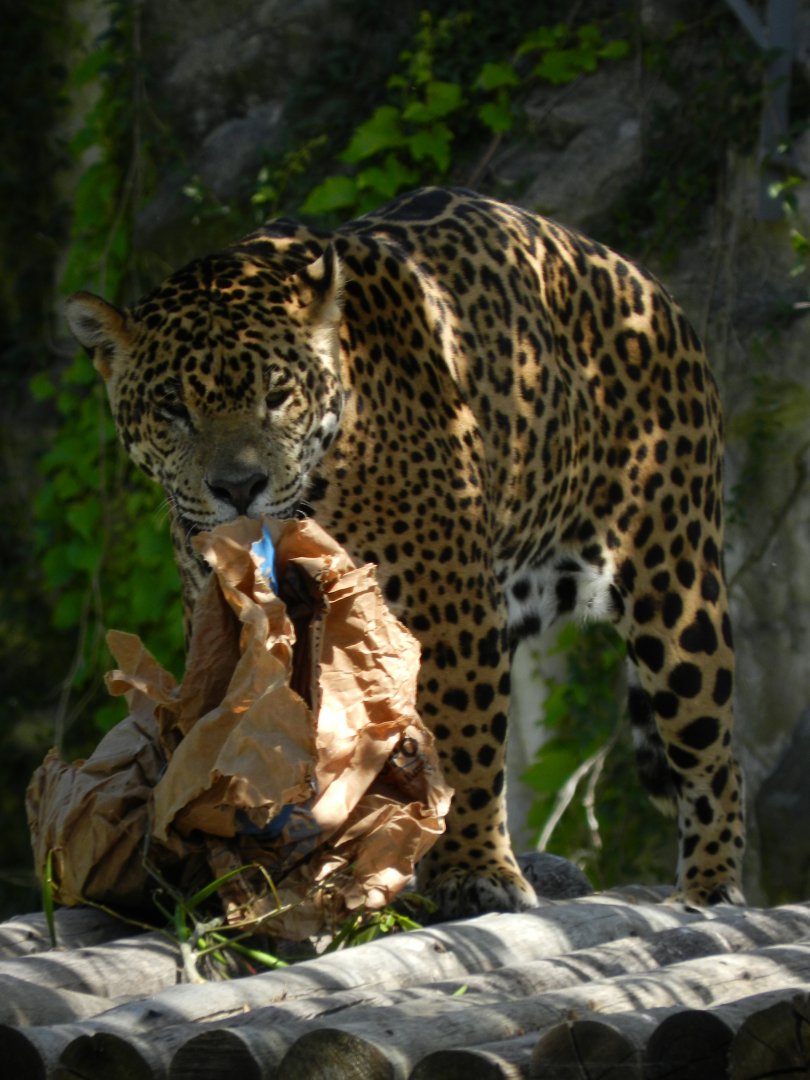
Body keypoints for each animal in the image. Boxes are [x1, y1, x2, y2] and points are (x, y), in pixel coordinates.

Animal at [66, 186, 745, 917]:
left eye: (277, 395)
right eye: (172, 409)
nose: (238, 488)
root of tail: (641, 281)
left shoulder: (450, 603)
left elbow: (467, 739)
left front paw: (474, 870)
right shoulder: (231, 614)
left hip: (675, 586)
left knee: (711, 748)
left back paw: (709, 887)